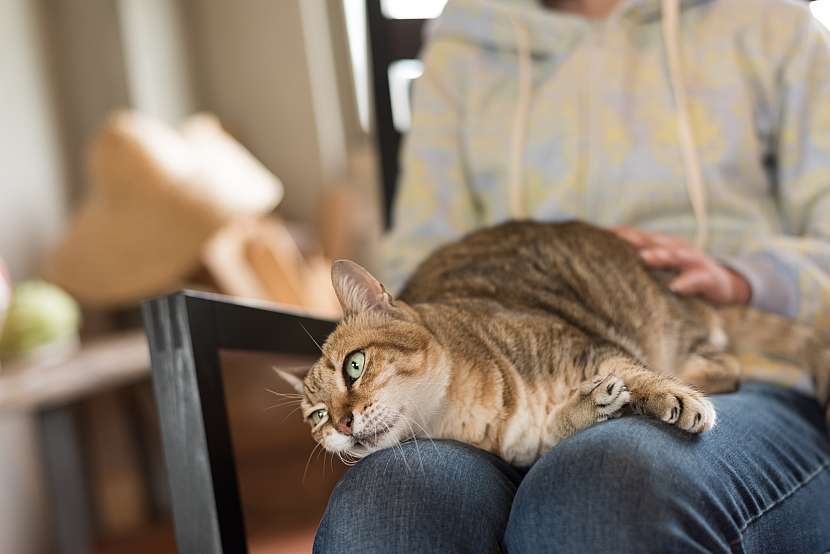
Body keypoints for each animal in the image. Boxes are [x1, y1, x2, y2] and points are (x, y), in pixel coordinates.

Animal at [282, 220, 830, 466]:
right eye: (317, 417)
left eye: (354, 366)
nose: (341, 424)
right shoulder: (526, 445)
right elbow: (553, 429)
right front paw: (585, 406)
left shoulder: (591, 348)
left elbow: (635, 372)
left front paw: (669, 395)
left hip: (668, 322)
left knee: (723, 361)